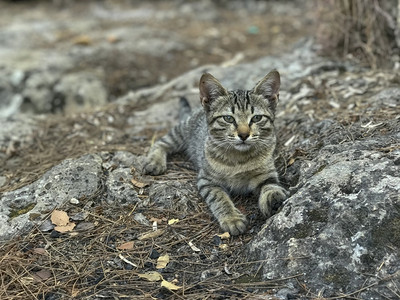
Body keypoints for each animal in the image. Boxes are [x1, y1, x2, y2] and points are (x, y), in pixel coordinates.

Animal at [144, 69, 288, 234]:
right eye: (228, 118)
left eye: (257, 118)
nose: (244, 135)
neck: (239, 158)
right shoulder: (207, 180)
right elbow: (219, 197)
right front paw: (232, 218)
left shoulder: (266, 172)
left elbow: (270, 185)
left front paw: (274, 197)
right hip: (181, 132)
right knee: (161, 142)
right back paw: (155, 161)